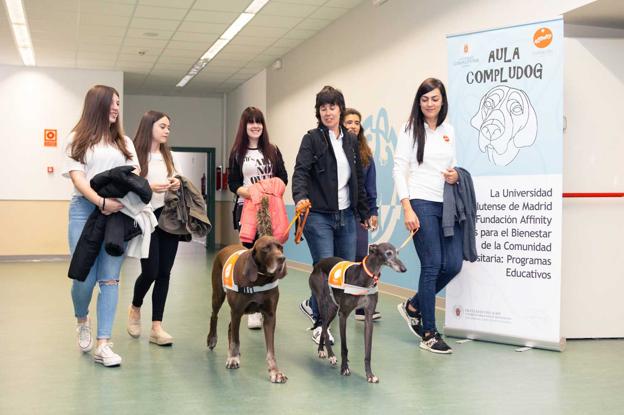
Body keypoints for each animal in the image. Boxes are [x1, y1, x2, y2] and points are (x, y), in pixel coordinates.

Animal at [308, 244, 408, 384]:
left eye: (397, 253)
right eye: (388, 253)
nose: (404, 269)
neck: (365, 277)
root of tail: (318, 264)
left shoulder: (369, 318)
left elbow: (368, 352)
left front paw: (370, 375)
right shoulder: (343, 315)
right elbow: (344, 348)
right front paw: (345, 368)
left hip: (333, 308)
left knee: (324, 326)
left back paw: (321, 350)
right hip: (325, 304)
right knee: (323, 326)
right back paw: (331, 355)